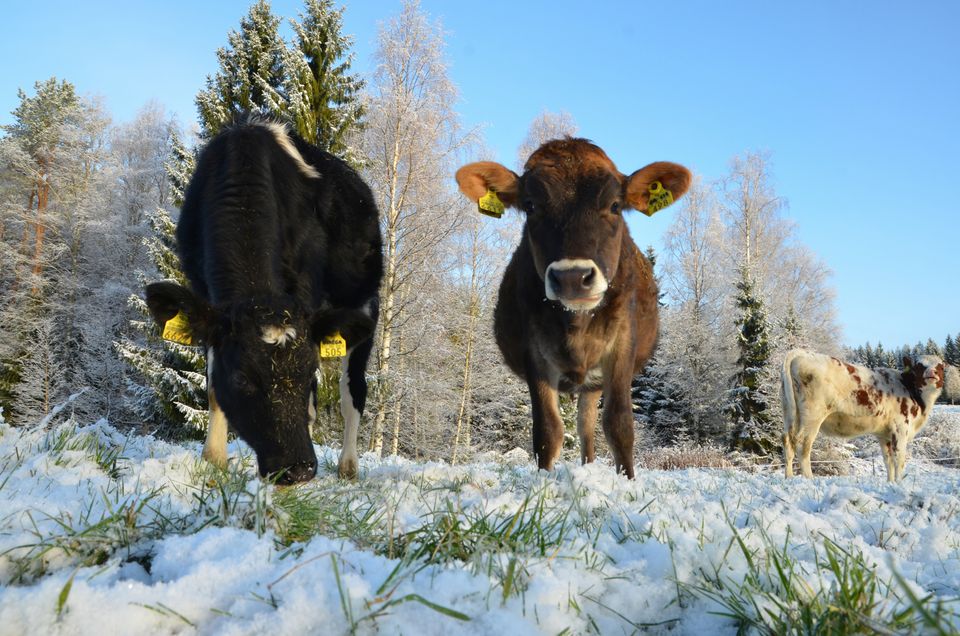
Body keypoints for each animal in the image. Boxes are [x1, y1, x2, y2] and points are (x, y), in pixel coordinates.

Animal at [144, 119, 380, 482]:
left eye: (309, 371)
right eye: (242, 378)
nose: (297, 469)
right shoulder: (205, 295)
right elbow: (214, 387)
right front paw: (214, 461)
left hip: (365, 303)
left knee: (352, 390)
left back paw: (348, 467)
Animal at [454, 139, 688, 476]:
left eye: (615, 206)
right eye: (530, 206)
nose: (572, 277)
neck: (577, 325)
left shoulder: (622, 345)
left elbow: (619, 425)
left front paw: (628, 481)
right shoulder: (534, 352)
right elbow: (547, 432)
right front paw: (542, 485)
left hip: (593, 383)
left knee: (587, 425)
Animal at [784, 348, 948, 482]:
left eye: (941, 366)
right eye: (919, 366)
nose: (931, 373)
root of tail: (803, 353)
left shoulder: (884, 434)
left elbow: (888, 461)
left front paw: (891, 483)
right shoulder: (900, 428)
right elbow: (899, 460)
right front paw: (900, 484)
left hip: (791, 413)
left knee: (788, 440)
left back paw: (789, 478)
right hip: (813, 414)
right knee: (803, 443)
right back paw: (809, 479)